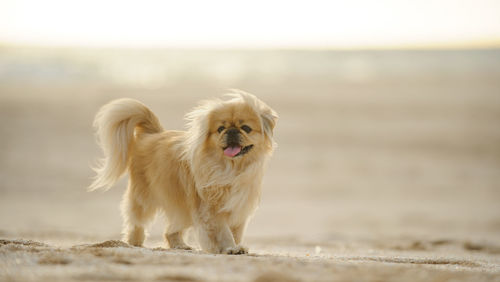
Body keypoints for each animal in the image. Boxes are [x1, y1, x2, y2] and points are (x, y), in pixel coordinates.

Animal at [90, 91, 278, 254]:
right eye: (220, 129)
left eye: (246, 128)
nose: (231, 131)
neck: (231, 169)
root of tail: (153, 134)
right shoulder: (211, 210)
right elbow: (224, 232)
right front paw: (230, 248)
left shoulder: (238, 209)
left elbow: (236, 233)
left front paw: (237, 246)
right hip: (144, 198)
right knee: (136, 222)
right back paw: (133, 243)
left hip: (182, 206)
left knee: (170, 231)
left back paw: (179, 246)